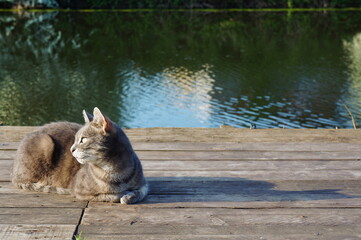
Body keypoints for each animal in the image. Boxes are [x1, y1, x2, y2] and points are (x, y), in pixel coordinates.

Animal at [12, 108, 148, 203]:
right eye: (75, 139)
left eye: (83, 139)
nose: (71, 149)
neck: (115, 170)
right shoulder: (79, 190)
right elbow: (110, 195)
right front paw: (123, 194)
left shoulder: (144, 184)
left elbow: (141, 192)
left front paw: (130, 196)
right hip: (45, 142)